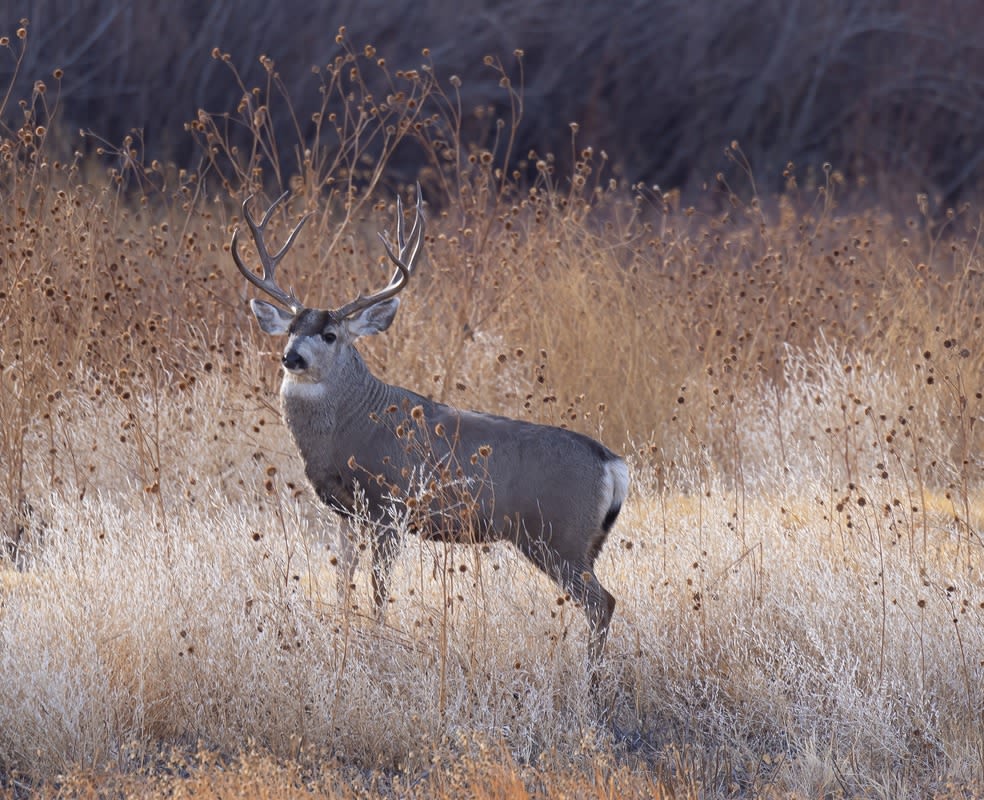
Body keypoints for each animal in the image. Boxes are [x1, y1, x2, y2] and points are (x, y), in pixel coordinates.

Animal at [233, 188, 632, 664]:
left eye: (330, 334)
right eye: (290, 328)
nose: (291, 357)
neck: (351, 428)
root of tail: (611, 463)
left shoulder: (390, 504)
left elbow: (379, 588)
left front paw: (380, 639)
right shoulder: (345, 511)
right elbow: (343, 582)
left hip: (559, 534)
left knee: (601, 602)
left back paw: (589, 675)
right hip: (579, 541)